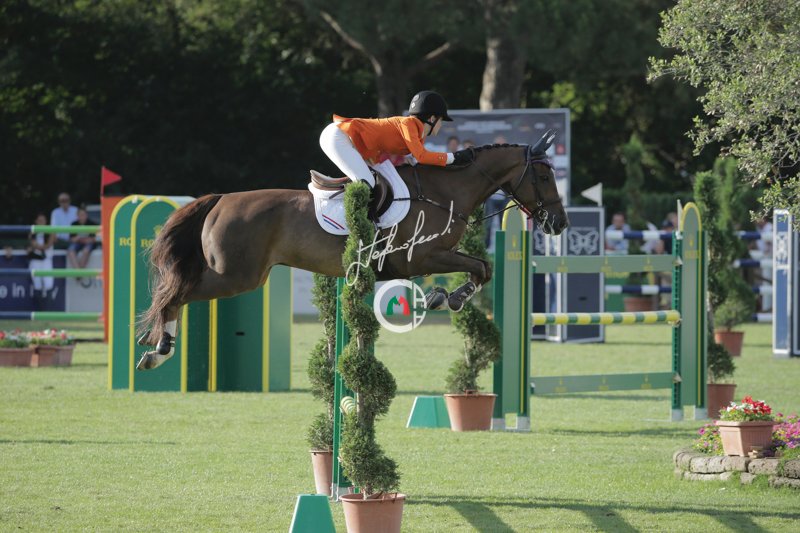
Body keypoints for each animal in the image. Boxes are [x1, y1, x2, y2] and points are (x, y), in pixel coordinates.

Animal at [136, 130, 569, 370]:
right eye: (545, 175)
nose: (559, 224)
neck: (444, 190)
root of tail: (221, 199)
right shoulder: (421, 257)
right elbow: (480, 267)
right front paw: (450, 296)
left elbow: (481, 267)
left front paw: (444, 296)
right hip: (235, 276)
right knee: (175, 295)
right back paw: (159, 349)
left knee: (176, 293)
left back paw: (154, 345)